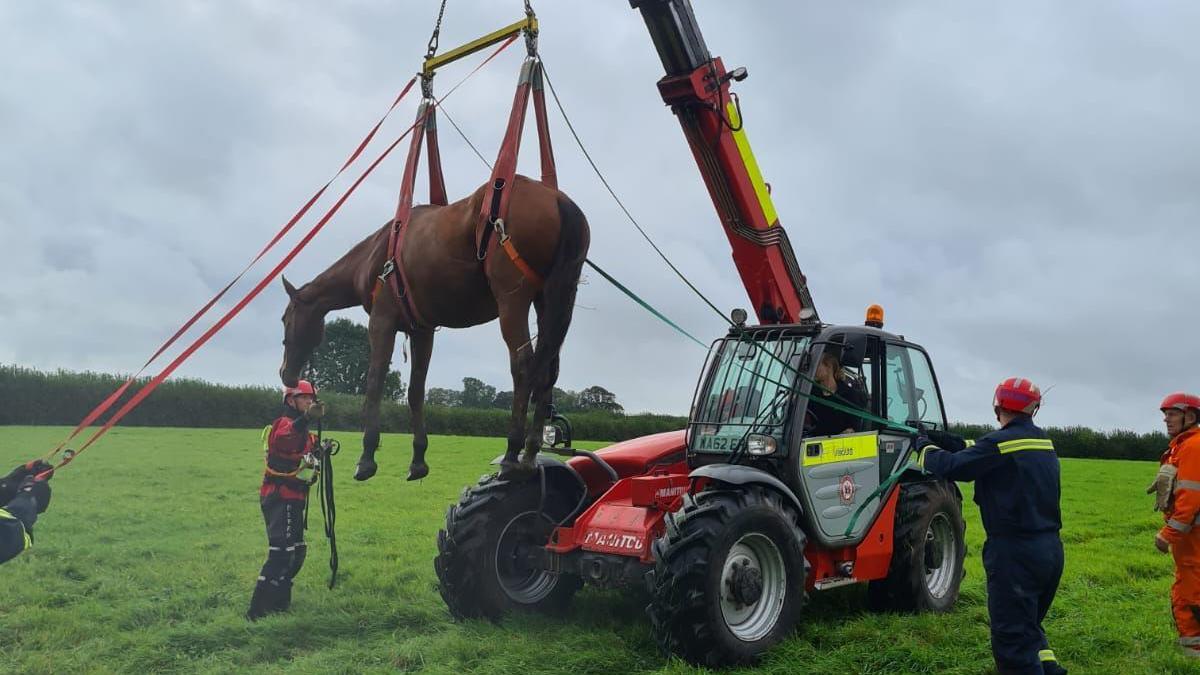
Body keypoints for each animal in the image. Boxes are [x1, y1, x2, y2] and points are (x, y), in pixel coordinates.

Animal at [273, 172, 590, 478]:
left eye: (285, 319)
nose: (286, 373)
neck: (374, 256)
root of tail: (558, 201)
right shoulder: (421, 330)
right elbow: (416, 390)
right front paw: (418, 459)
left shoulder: (381, 321)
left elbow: (374, 383)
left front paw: (367, 456)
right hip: (550, 300)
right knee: (548, 369)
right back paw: (531, 451)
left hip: (513, 301)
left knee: (524, 366)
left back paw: (513, 451)